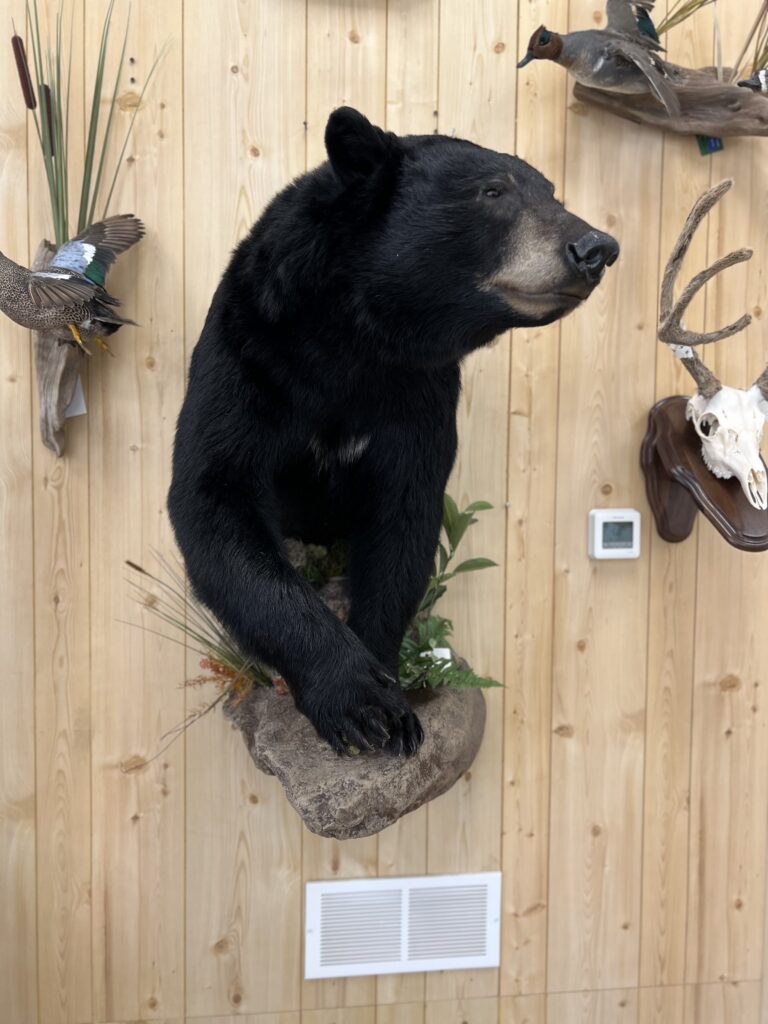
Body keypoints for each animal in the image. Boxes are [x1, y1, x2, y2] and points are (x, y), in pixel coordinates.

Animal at [168, 106, 619, 757]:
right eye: (493, 191)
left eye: (552, 192)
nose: (596, 247)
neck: (361, 336)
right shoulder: (252, 347)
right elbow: (215, 496)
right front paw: (359, 701)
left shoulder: (418, 393)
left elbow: (403, 518)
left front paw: (389, 690)